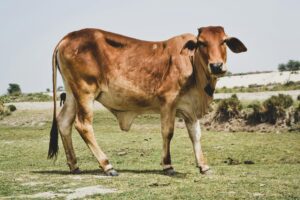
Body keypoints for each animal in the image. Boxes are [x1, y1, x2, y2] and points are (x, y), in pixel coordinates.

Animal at [47, 25, 246, 176]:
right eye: (202, 43)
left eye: (224, 41)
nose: (217, 66)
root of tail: (67, 37)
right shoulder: (168, 103)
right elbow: (168, 132)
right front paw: (168, 165)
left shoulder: (190, 109)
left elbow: (195, 135)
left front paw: (203, 166)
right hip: (85, 93)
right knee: (83, 125)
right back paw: (107, 166)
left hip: (72, 94)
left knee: (64, 122)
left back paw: (74, 165)